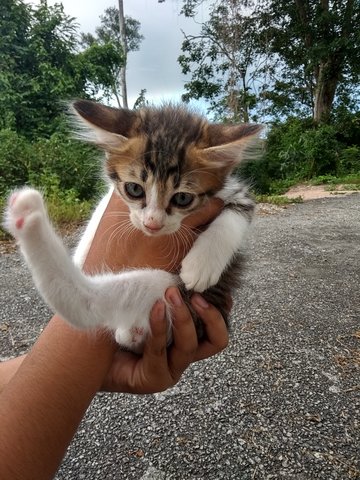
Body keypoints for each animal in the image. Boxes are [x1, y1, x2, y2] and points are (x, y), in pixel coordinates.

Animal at [3, 101, 262, 352]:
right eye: (134, 189)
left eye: (182, 198)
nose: (152, 224)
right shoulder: (113, 194)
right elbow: (100, 211)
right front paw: (84, 249)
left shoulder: (235, 191)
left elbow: (237, 215)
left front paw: (202, 265)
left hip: (173, 294)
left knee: (87, 304)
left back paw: (28, 217)